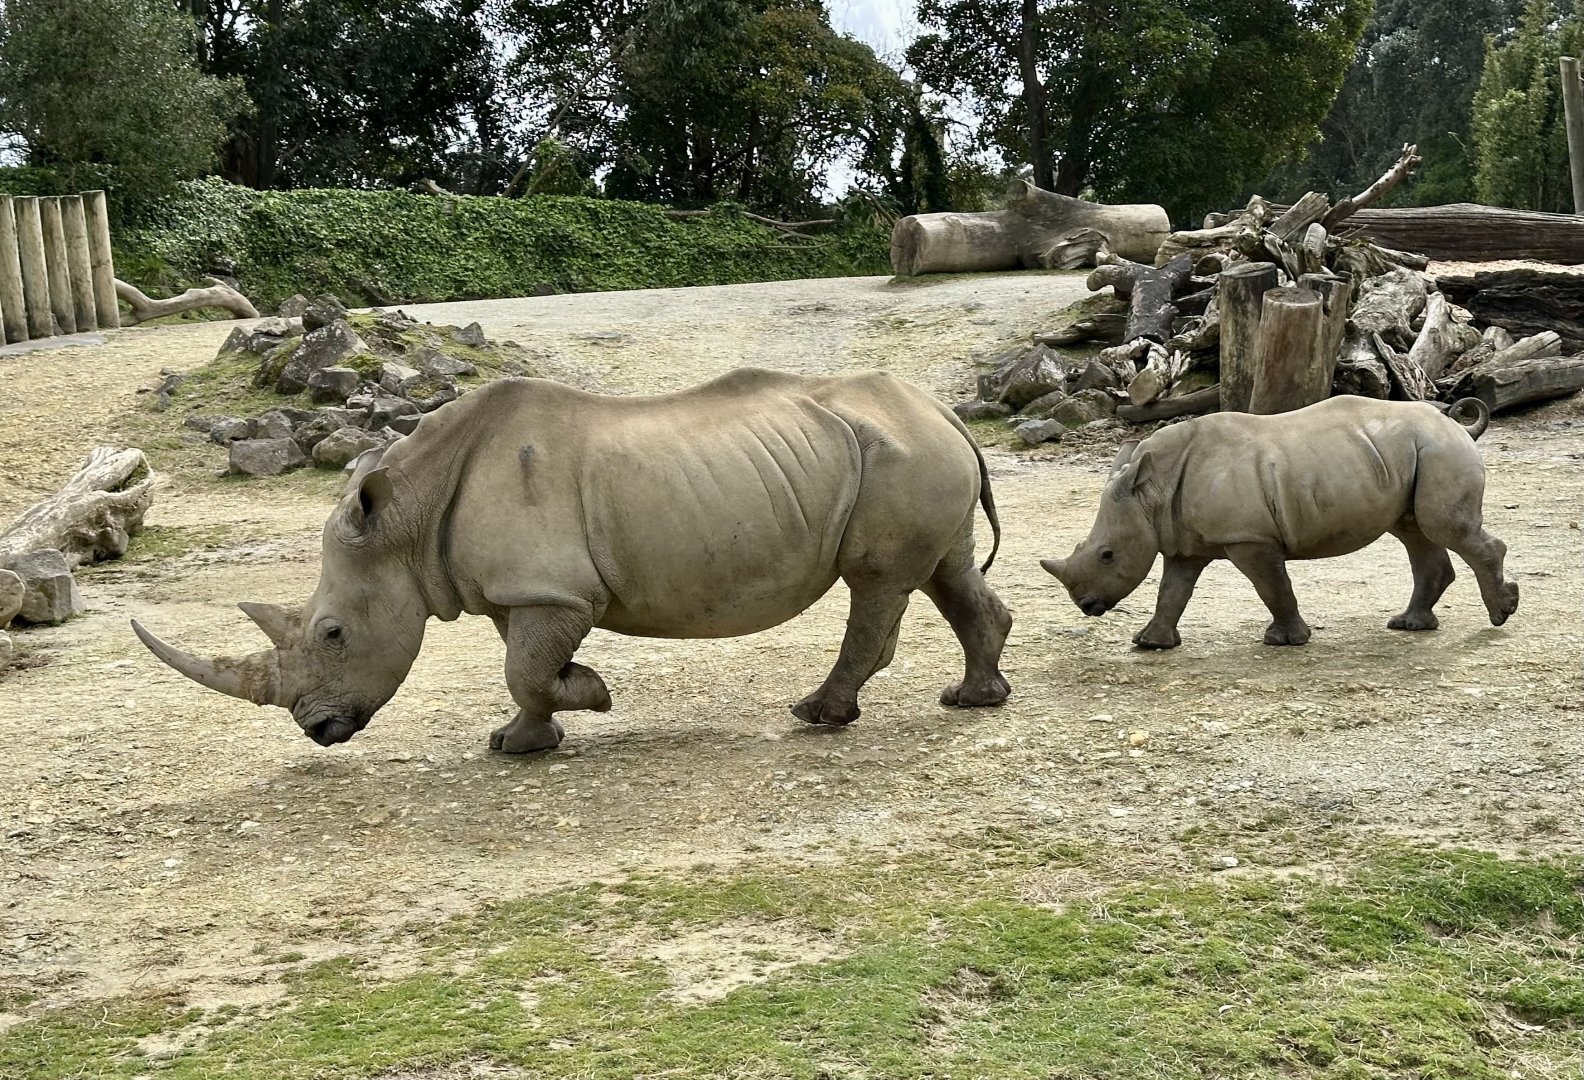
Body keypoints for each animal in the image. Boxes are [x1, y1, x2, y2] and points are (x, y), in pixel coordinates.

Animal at [134, 370, 1013, 752]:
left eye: (332, 634)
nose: (317, 731)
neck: (406, 521)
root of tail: (943, 410)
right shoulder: (518, 592)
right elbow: (519, 671)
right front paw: (520, 741)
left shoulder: (553, 592)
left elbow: (527, 668)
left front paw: (592, 693)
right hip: (911, 451)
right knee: (948, 572)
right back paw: (974, 700)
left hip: (900, 456)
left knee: (879, 582)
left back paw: (817, 717)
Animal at [1040, 396, 1519, 648]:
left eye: (1107, 554)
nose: (1086, 606)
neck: (1150, 492)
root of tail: (1456, 425)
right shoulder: (1184, 542)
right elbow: (1172, 591)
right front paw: (1150, 644)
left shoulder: (1249, 538)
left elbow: (1272, 587)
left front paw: (1286, 641)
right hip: (1411, 455)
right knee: (1414, 531)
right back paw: (1408, 625)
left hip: (1440, 451)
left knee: (1441, 528)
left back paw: (1501, 614)